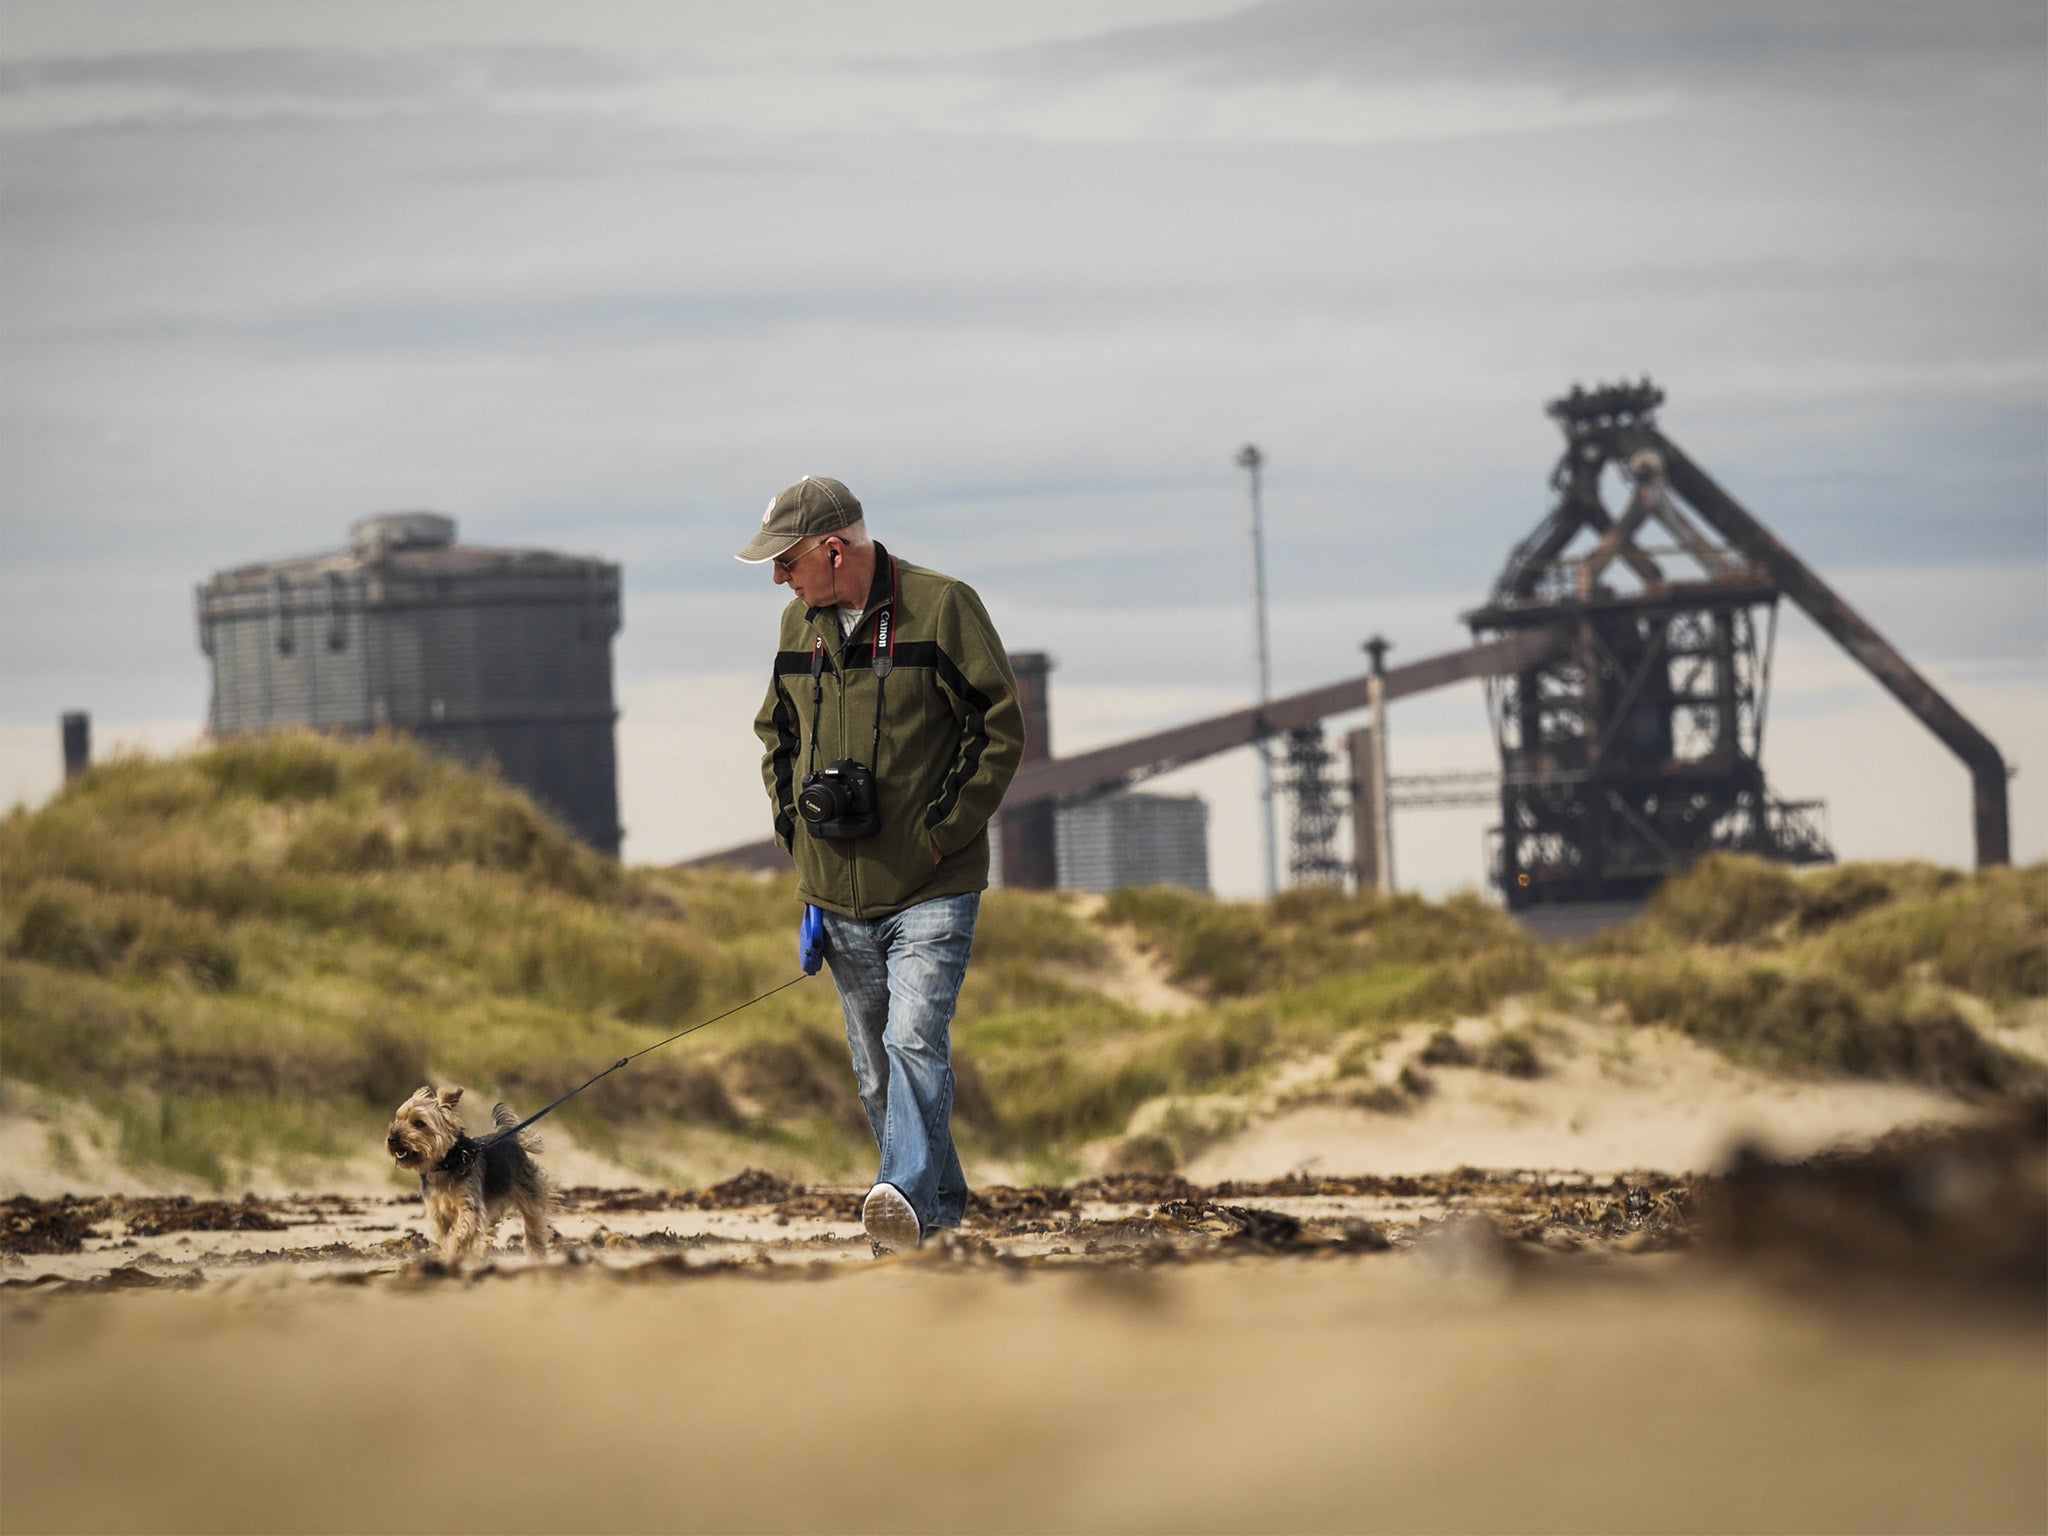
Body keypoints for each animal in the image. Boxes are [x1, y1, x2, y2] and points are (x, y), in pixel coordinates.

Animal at [385, 1089, 552, 1269]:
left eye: (419, 1123)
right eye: (398, 1118)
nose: (392, 1139)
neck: (445, 1164)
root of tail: (508, 1136)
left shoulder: (469, 1206)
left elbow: (461, 1232)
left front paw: (452, 1254)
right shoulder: (437, 1211)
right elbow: (443, 1234)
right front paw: (449, 1252)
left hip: (528, 1188)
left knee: (533, 1220)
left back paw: (536, 1254)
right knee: (489, 1228)